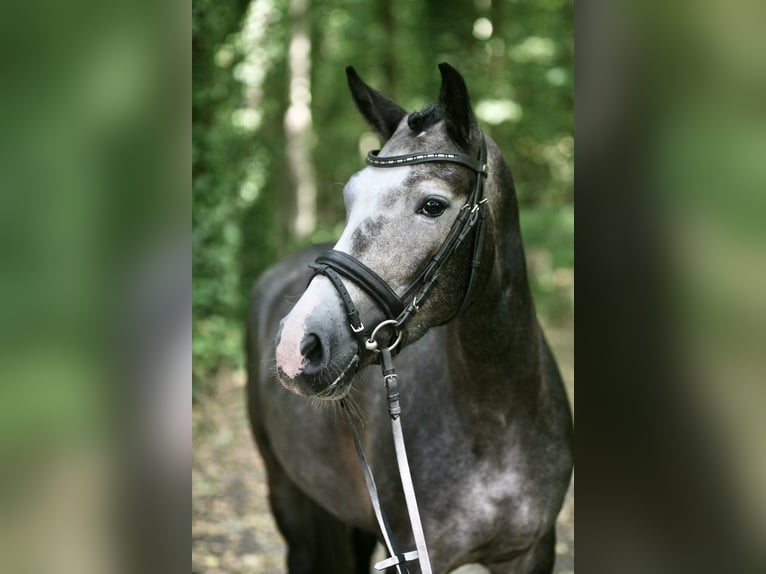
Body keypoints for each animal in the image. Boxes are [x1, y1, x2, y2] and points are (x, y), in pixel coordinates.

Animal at [249, 64, 572, 574]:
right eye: (349, 197)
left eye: (433, 205)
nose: (296, 344)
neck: (499, 415)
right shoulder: (416, 551)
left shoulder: (533, 550)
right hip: (286, 493)